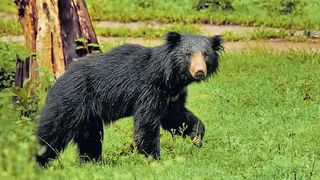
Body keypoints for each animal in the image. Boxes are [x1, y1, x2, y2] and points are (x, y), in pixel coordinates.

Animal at [36, 31, 222, 167]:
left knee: (90, 139)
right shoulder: (149, 89)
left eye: (206, 55)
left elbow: (176, 117)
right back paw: (38, 162)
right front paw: (154, 159)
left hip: (88, 116)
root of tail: (57, 80)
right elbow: (147, 124)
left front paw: (196, 138)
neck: (171, 78)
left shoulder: (172, 96)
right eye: (188, 54)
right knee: (50, 135)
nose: (200, 72)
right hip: (70, 103)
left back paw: (92, 163)